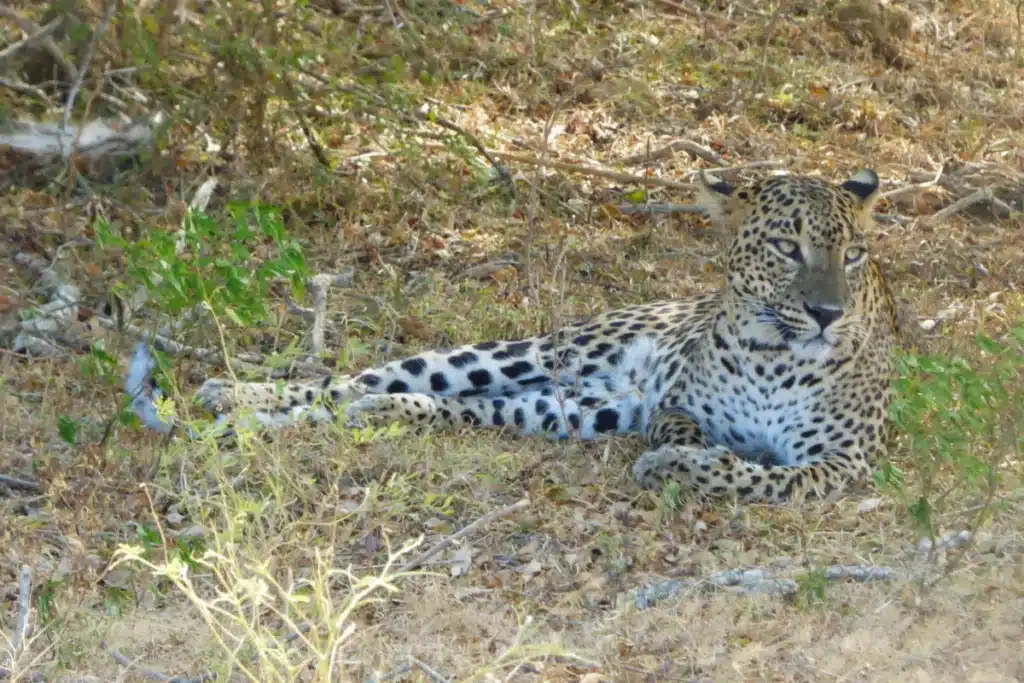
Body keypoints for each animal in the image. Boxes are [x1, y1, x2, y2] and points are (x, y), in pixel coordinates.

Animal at [162, 168, 899, 504]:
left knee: (423, 404)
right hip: (541, 352)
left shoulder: (842, 461)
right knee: (352, 380)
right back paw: (232, 398)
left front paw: (676, 466)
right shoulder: (676, 405)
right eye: (787, 248)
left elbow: (763, 477)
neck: (775, 357)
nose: (828, 313)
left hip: (575, 406)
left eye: (854, 254)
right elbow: (692, 433)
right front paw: (674, 456)